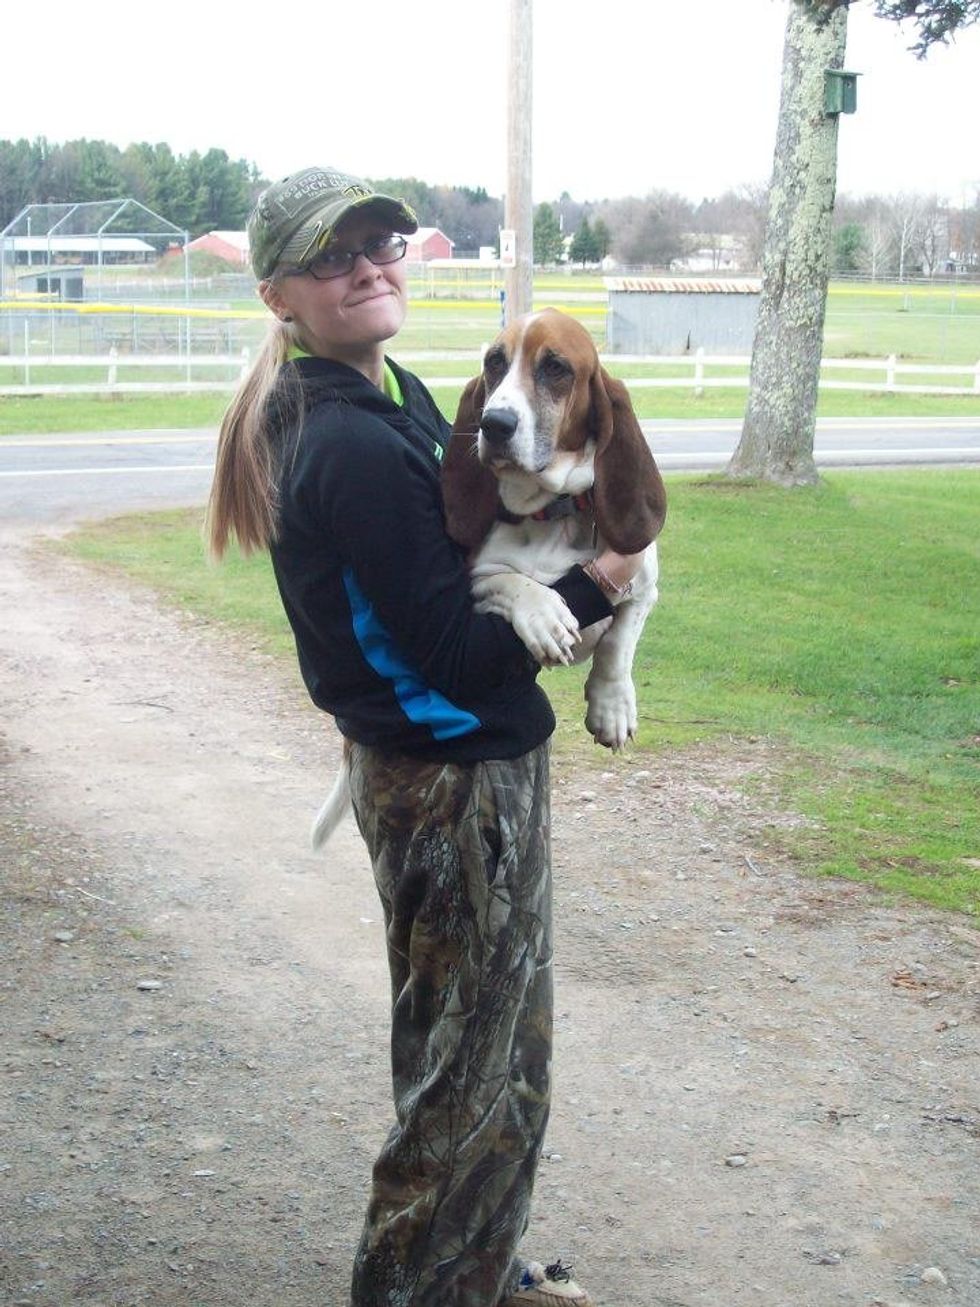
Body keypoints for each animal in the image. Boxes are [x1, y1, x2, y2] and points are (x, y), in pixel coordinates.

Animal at [311, 308, 666, 849]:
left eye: (556, 368)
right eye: (494, 363)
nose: (494, 424)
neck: (549, 511)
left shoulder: (644, 577)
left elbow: (619, 641)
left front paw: (612, 707)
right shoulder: (476, 580)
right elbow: (515, 583)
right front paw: (545, 616)